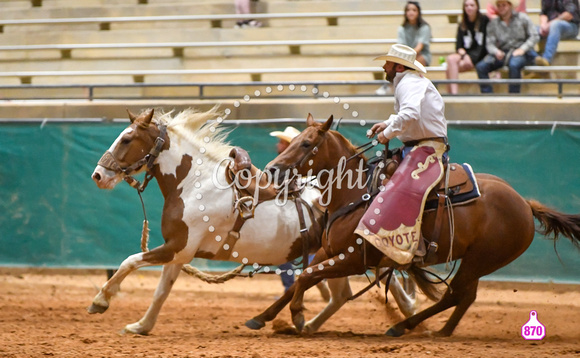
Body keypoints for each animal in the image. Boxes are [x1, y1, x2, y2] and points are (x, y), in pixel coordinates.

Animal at [88, 107, 420, 334]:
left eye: (127, 138)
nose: (98, 175)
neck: (194, 183)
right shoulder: (180, 251)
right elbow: (161, 291)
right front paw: (141, 326)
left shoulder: (176, 247)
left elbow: (130, 261)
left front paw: (101, 301)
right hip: (331, 255)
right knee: (340, 295)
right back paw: (306, 326)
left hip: (348, 254)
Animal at [248, 113, 580, 338]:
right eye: (291, 142)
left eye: (306, 144)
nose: (272, 169)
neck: (355, 195)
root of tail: (525, 204)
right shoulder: (328, 252)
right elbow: (300, 278)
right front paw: (262, 317)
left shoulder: (353, 260)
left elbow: (305, 277)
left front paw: (297, 317)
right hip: (476, 261)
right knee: (465, 297)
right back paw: (440, 331)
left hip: (480, 259)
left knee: (455, 294)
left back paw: (403, 326)